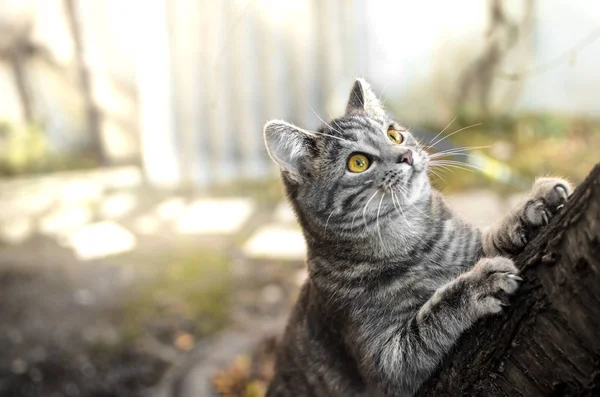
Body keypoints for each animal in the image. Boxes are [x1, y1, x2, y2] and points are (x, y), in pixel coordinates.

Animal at [264, 78, 572, 396]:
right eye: (358, 162)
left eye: (394, 135)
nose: (406, 156)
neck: (414, 241)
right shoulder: (389, 364)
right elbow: (430, 320)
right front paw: (478, 285)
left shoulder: (468, 244)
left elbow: (491, 238)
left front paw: (533, 207)